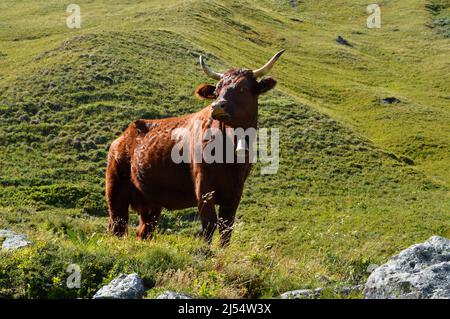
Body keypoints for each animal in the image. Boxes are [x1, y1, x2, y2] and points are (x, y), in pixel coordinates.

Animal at [105, 50, 284, 248]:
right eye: (217, 91)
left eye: (243, 88)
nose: (217, 106)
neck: (230, 154)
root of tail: (123, 136)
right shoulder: (203, 187)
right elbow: (209, 223)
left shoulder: (235, 191)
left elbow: (227, 227)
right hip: (116, 190)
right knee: (117, 226)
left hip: (151, 202)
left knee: (144, 231)